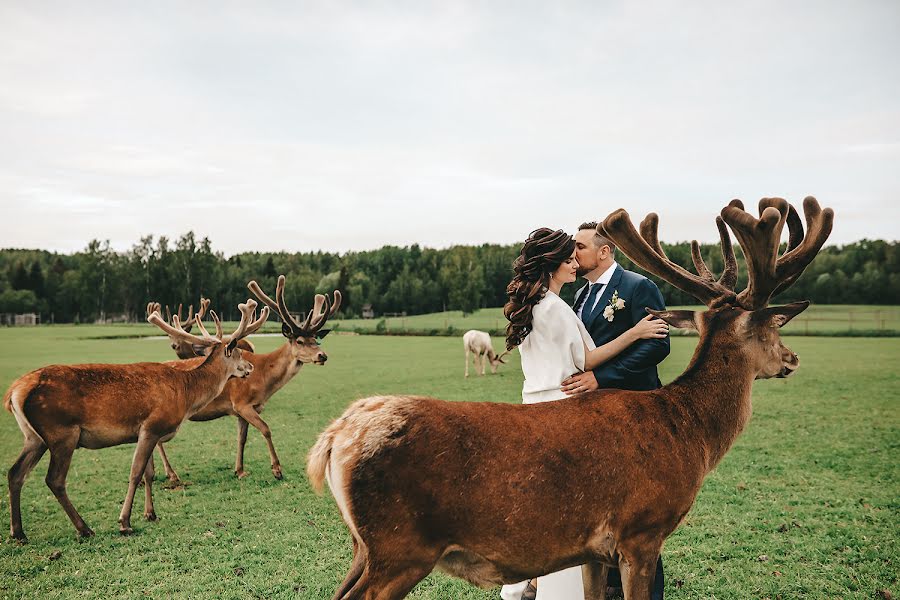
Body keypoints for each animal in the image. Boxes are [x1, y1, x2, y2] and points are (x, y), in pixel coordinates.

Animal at [4, 300, 268, 540]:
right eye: (238, 352)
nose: (250, 367)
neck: (186, 393)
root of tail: (15, 391)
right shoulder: (152, 425)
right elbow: (135, 472)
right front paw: (125, 522)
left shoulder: (147, 431)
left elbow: (148, 473)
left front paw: (150, 514)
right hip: (62, 433)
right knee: (54, 480)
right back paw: (84, 528)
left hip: (34, 438)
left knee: (15, 472)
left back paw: (18, 532)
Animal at [152, 276, 342, 482]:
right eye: (299, 341)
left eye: (316, 339)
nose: (322, 355)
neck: (264, 380)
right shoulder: (242, 403)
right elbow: (266, 429)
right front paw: (277, 469)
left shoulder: (242, 410)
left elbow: (242, 438)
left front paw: (240, 470)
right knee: (158, 439)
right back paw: (171, 474)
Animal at [306, 197, 832, 600]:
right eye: (773, 325)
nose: (792, 358)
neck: (691, 436)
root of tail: (333, 439)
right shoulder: (641, 531)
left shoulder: (590, 549)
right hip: (401, 548)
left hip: (363, 547)